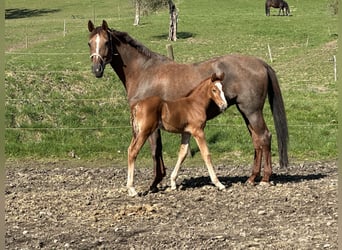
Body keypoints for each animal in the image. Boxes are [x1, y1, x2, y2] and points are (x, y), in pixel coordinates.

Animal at [87, 20, 288, 192]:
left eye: (106, 42)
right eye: (89, 43)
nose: (96, 69)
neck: (144, 71)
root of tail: (260, 63)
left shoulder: (150, 126)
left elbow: (154, 150)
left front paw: (155, 183)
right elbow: (159, 150)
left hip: (252, 111)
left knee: (264, 137)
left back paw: (265, 178)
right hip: (246, 112)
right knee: (257, 140)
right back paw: (252, 177)